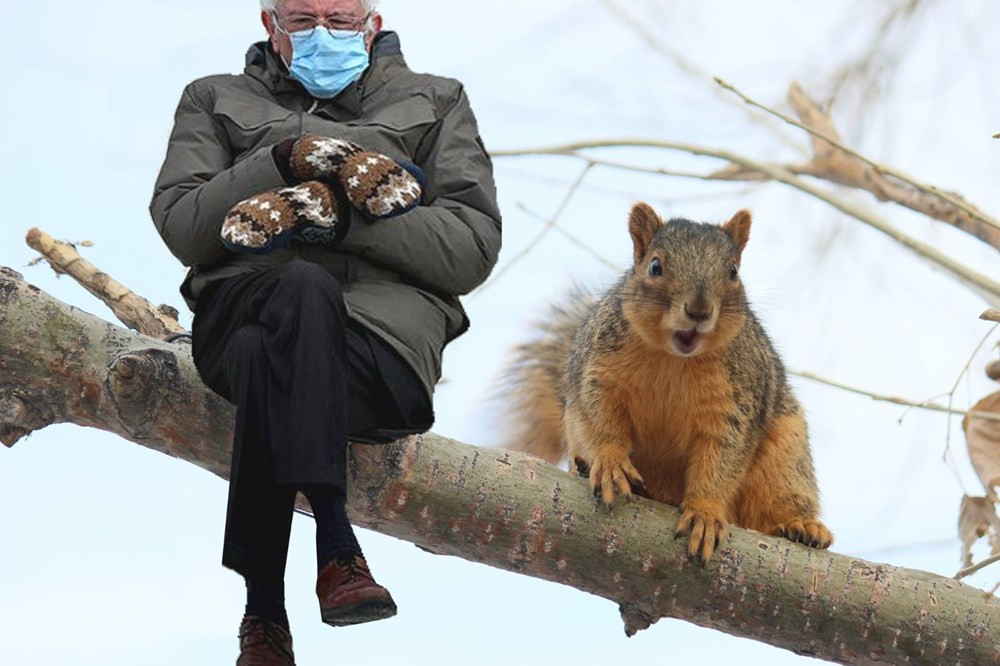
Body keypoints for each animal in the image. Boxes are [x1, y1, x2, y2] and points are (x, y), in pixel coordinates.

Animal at [504, 202, 832, 560]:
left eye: (733, 271)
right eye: (655, 266)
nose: (699, 310)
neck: (674, 359)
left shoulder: (736, 404)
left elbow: (720, 461)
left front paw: (704, 512)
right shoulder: (599, 373)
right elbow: (600, 420)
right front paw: (611, 462)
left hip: (787, 456)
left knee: (778, 504)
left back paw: (803, 526)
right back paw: (582, 465)